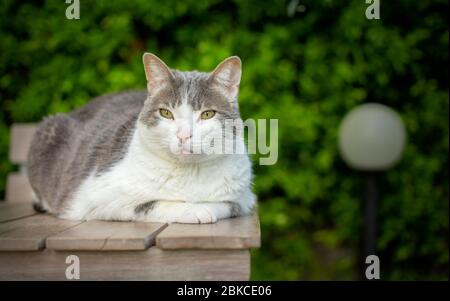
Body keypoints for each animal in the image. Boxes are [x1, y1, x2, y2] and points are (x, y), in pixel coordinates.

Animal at [26, 52, 255, 223]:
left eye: (207, 114)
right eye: (166, 113)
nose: (183, 135)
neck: (190, 173)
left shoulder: (244, 197)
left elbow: (228, 204)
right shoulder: (95, 197)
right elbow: (151, 203)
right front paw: (195, 210)